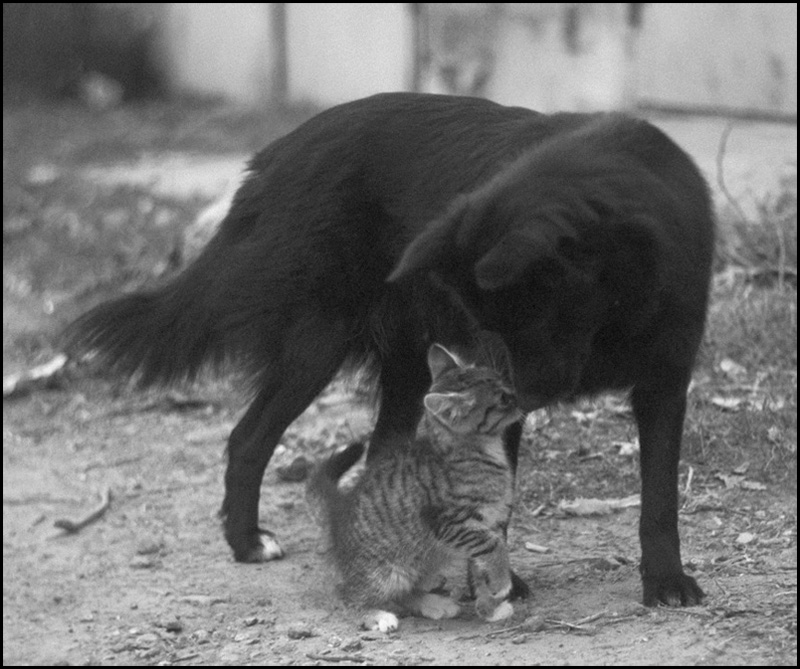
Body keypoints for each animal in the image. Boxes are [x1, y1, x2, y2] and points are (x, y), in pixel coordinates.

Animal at [304, 342, 520, 628]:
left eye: (504, 381)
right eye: (503, 399)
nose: (519, 397)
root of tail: (338, 518)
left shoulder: (489, 522)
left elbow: (480, 567)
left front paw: (489, 608)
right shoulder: (453, 523)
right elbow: (493, 546)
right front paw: (502, 581)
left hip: (425, 561)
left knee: (407, 591)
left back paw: (432, 603)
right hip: (387, 570)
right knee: (349, 594)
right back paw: (374, 615)